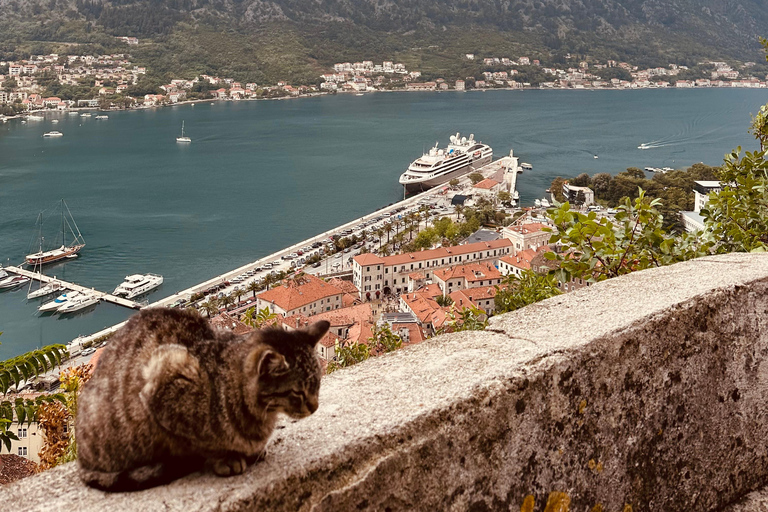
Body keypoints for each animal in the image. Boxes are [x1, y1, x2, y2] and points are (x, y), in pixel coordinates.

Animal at [76, 308, 328, 492]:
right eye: (297, 392)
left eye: (317, 384)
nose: (315, 407)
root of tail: (81, 460)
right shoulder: (164, 382)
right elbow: (200, 442)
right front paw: (226, 458)